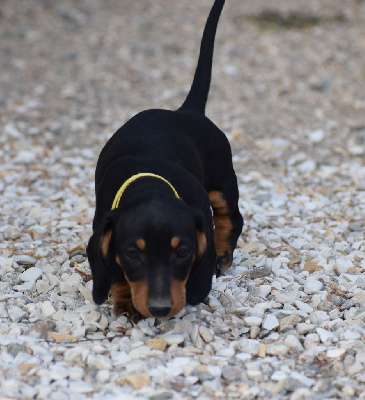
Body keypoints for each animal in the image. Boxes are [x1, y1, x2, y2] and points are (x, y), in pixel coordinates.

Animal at [86, 0, 243, 318]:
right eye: (132, 254)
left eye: (183, 252)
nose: (160, 308)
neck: (148, 178)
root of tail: (187, 111)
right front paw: (125, 299)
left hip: (222, 180)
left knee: (232, 216)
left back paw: (223, 253)